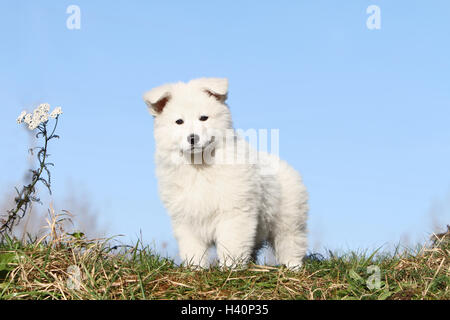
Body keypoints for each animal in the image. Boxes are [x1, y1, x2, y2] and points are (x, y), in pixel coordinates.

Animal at [145, 79, 310, 268]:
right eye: (179, 121)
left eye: (204, 118)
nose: (192, 138)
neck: (200, 166)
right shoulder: (186, 217)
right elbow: (193, 248)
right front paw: (195, 268)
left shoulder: (234, 213)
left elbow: (231, 244)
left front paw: (230, 268)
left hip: (289, 219)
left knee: (291, 243)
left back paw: (292, 267)